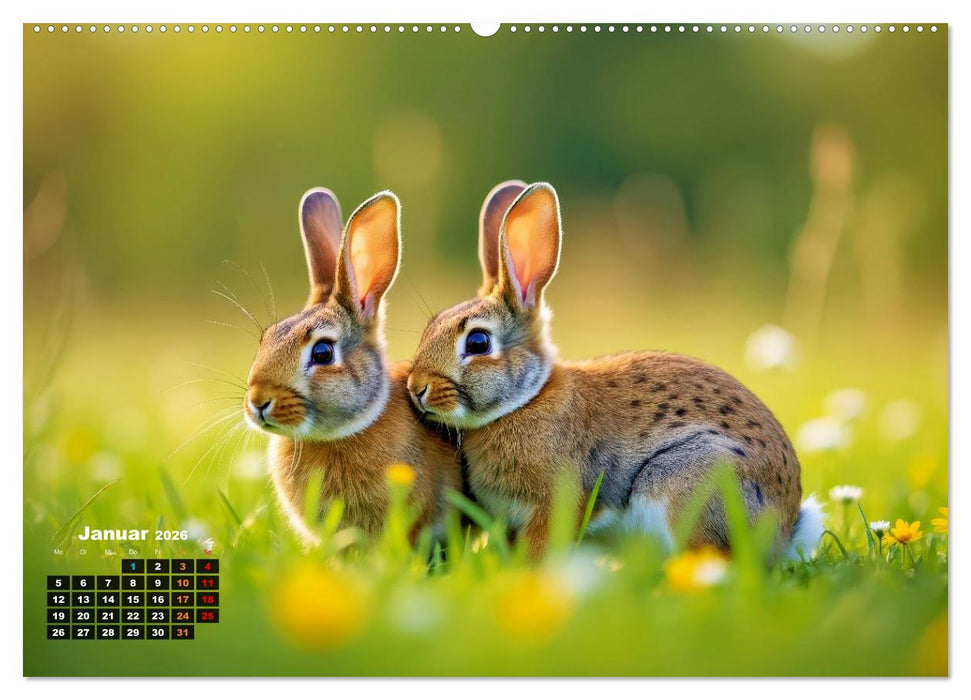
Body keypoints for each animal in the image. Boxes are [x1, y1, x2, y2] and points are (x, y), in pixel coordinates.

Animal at [408, 180, 823, 558]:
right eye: (430, 327)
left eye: (478, 343)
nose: (416, 388)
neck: (526, 400)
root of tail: (784, 529)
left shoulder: (558, 500)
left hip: (685, 476)